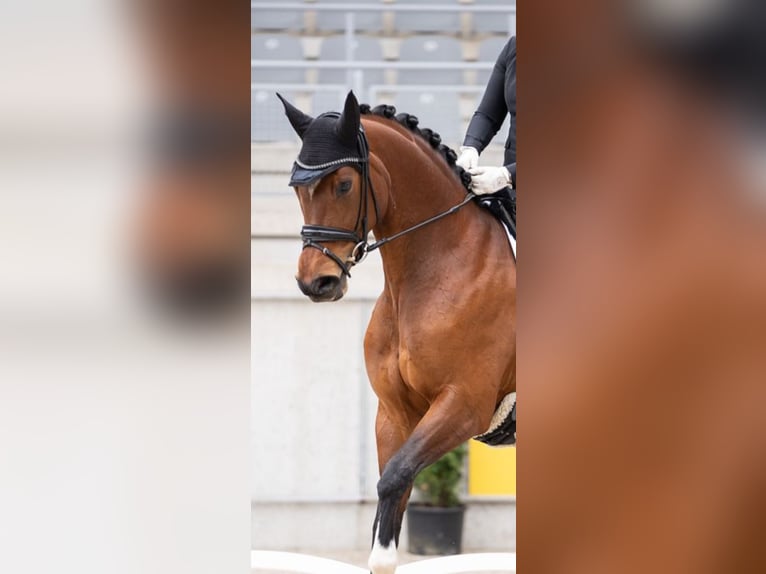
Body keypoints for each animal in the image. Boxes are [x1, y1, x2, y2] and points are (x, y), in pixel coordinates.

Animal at [280, 92, 516, 574]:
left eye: (344, 184)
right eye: (296, 188)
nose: (316, 284)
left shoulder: (465, 404)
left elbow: (393, 481)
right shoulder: (394, 413)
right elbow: (392, 494)